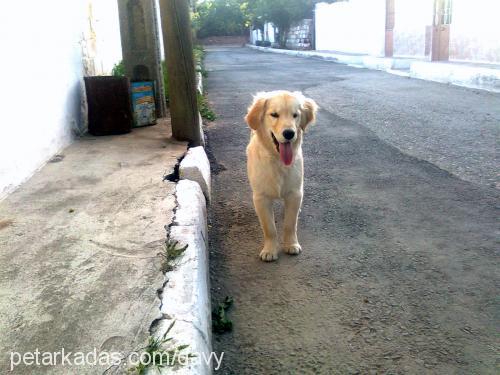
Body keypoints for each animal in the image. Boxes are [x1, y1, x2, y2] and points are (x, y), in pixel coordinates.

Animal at [244, 91, 318, 262]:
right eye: (274, 115)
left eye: (295, 115)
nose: (289, 133)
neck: (277, 160)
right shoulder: (261, 197)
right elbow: (269, 227)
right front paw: (270, 250)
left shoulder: (295, 193)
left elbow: (290, 224)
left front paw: (291, 244)